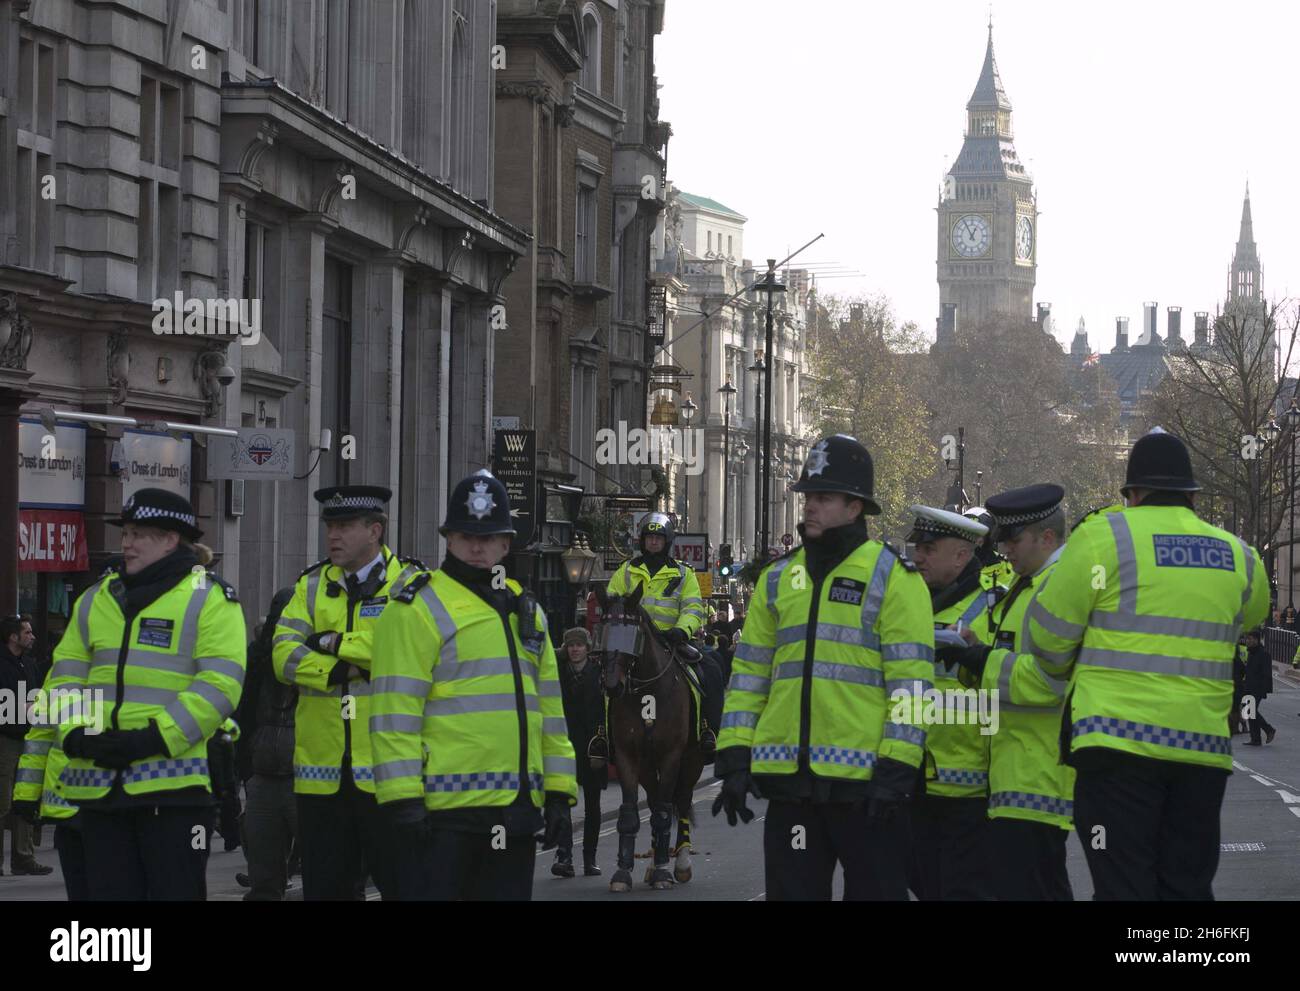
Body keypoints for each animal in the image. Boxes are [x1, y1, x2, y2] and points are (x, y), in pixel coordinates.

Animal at [595, 582, 702, 889]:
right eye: (603, 630)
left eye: (634, 633)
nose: (613, 686)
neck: (647, 694)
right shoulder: (628, 756)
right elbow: (631, 813)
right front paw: (622, 873)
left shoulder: (671, 755)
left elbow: (665, 813)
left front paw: (666, 872)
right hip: (646, 764)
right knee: (654, 803)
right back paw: (655, 861)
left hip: (693, 760)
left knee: (681, 801)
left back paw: (680, 863)